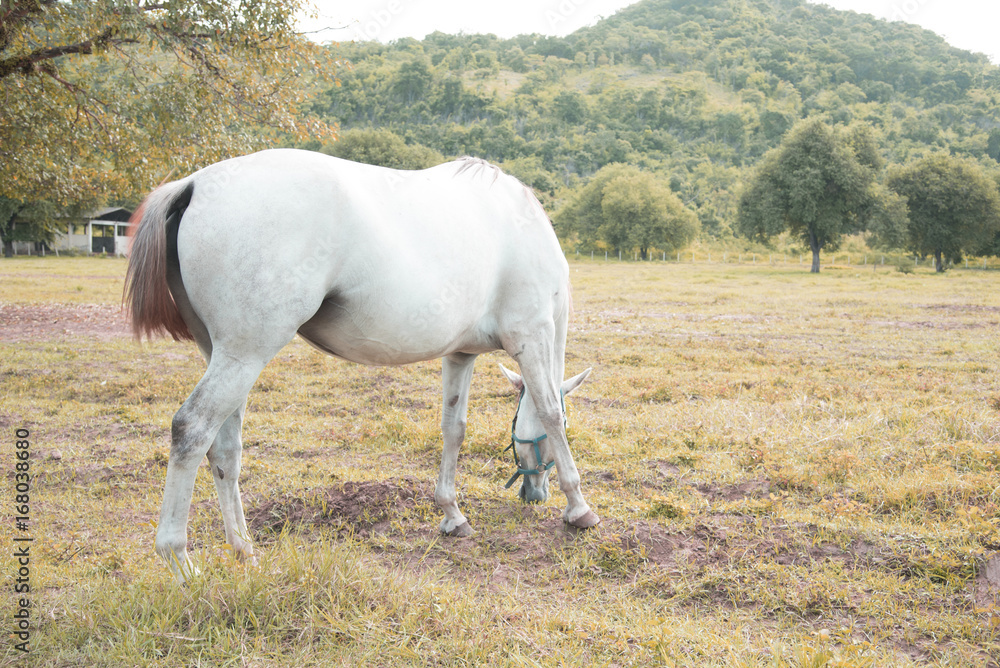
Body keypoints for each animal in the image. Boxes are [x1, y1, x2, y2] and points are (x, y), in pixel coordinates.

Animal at [124, 148, 600, 582]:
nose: (532, 494)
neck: (520, 223)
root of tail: (193, 184)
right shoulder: (533, 337)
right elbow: (550, 413)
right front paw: (579, 508)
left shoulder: (460, 355)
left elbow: (454, 429)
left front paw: (452, 514)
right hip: (245, 354)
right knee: (191, 430)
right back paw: (180, 562)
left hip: (225, 356)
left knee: (223, 448)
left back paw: (244, 550)